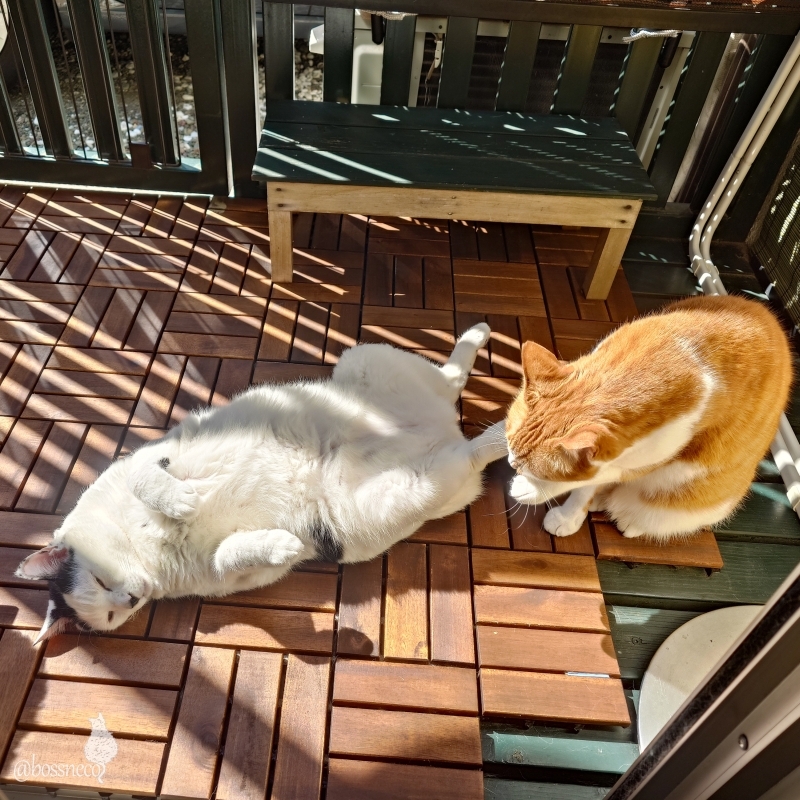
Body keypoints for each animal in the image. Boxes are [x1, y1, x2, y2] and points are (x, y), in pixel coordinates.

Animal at [16, 324, 507, 642]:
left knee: (451, 379)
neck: (145, 546)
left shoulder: (145, 458)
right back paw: (504, 434)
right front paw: (283, 545)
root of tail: (443, 426)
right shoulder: (234, 575)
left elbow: (144, 477)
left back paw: (480, 340)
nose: (134, 596)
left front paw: (179, 501)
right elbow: (230, 554)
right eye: (115, 614)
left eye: (101, 583)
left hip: (365, 358)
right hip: (415, 491)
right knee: (470, 450)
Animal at [505, 295, 792, 540]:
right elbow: (587, 483)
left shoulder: (647, 458)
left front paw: (536, 491)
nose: (511, 463)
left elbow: (589, 479)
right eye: (508, 445)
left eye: (529, 468)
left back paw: (627, 519)